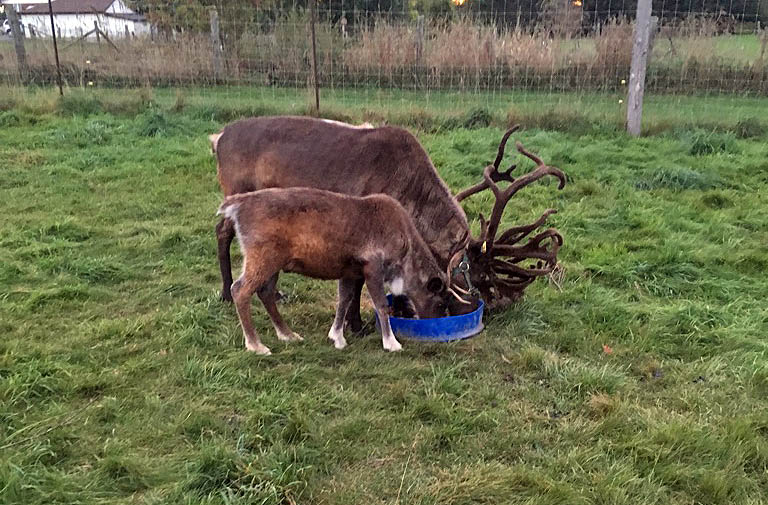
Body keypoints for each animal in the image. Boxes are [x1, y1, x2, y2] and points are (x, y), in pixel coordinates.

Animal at [209, 116, 566, 330]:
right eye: (483, 280)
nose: (498, 307)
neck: (410, 195)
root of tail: (219, 137)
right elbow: (356, 284)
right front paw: (356, 325)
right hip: (236, 191)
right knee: (222, 231)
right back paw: (226, 292)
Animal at [217, 187, 453, 355]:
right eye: (441, 302)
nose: (436, 324)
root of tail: (235, 205)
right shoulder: (373, 266)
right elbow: (381, 305)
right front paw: (391, 343)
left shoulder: (349, 271)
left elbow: (344, 300)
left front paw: (337, 337)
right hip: (262, 257)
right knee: (240, 289)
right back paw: (256, 345)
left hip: (275, 262)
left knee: (265, 292)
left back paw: (288, 334)